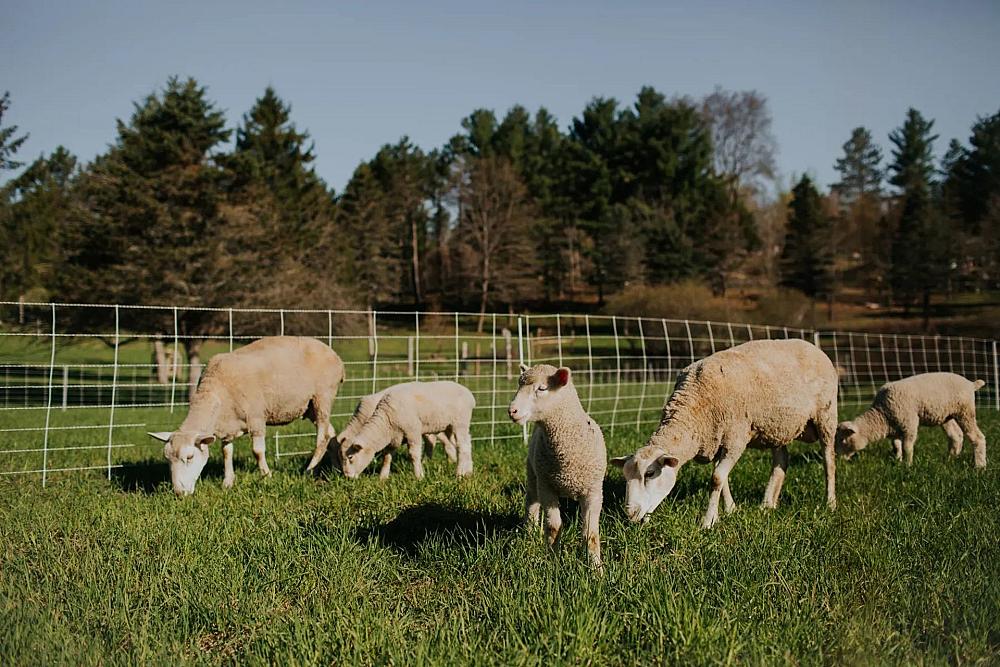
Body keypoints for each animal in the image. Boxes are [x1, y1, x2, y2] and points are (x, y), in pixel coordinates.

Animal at [148, 336, 344, 495]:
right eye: (167, 459)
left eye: (189, 457)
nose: (179, 493)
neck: (215, 392)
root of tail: (335, 356)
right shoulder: (227, 426)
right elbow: (226, 452)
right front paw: (227, 483)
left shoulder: (256, 419)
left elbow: (257, 451)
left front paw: (266, 477)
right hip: (309, 407)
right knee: (331, 434)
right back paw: (336, 469)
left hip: (323, 397)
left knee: (322, 437)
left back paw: (310, 470)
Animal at [339, 381, 475, 480]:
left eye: (350, 457)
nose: (347, 477)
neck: (386, 421)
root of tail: (469, 394)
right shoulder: (393, 438)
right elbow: (387, 457)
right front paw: (383, 477)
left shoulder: (412, 431)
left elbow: (413, 455)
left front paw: (419, 476)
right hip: (450, 427)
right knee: (465, 445)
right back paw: (468, 471)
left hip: (460, 423)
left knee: (462, 447)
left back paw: (459, 473)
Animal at [508, 363, 606, 571]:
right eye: (519, 385)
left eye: (542, 388)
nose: (512, 411)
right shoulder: (547, 487)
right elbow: (553, 527)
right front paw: (553, 563)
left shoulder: (594, 491)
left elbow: (590, 534)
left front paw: (596, 569)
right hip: (533, 475)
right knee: (531, 503)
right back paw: (530, 534)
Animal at [611, 338, 839, 529]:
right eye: (625, 476)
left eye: (649, 474)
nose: (630, 514)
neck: (694, 405)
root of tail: (814, 347)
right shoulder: (716, 440)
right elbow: (723, 479)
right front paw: (730, 510)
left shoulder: (735, 439)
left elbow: (717, 479)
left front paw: (708, 522)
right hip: (776, 427)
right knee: (781, 461)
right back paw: (767, 504)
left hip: (826, 416)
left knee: (828, 461)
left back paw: (830, 503)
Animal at [836, 373, 987, 468]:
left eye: (843, 440)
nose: (838, 459)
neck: (882, 415)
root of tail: (971, 384)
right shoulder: (896, 427)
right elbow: (896, 445)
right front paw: (898, 460)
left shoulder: (909, 423)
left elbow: (907, 446)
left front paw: (907, 465)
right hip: (947, 416)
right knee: (956, 436)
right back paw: (950, 459)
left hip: (965, 412)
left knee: (977, 437)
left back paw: (979, 466)